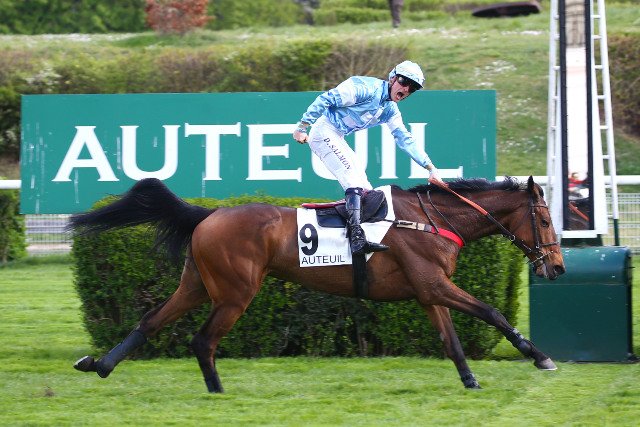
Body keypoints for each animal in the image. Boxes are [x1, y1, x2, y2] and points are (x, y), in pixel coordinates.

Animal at [69, 176, 565, 392]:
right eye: (543, 219)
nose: (557, 268)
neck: (430, 219)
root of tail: (209, 214)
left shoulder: (429, 292)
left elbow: (452, 342)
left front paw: (470, 380)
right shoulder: (436, 285)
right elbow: (491, 311)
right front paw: (540, 357)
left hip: (196, 284)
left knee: (151, 321)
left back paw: (101, 364)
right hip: (235, 293)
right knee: (202, 339)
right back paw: (217, 392)